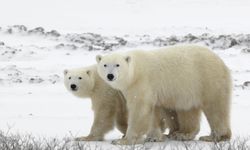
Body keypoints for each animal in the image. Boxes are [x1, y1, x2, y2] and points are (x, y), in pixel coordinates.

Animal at [96, 44, 232, 144]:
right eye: (105, 65)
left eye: (117, 65)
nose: (110, 75)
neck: (135, 72)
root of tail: (220, 61)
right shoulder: (152, 90)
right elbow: (154, 111)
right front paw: (154, 137)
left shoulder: (142, 84)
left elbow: (139, 110)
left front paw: (123, 141)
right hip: (188, 90)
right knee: (185, 110)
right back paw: (180, 134)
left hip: (207, 80)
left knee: (215, 108)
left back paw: (215, 137)